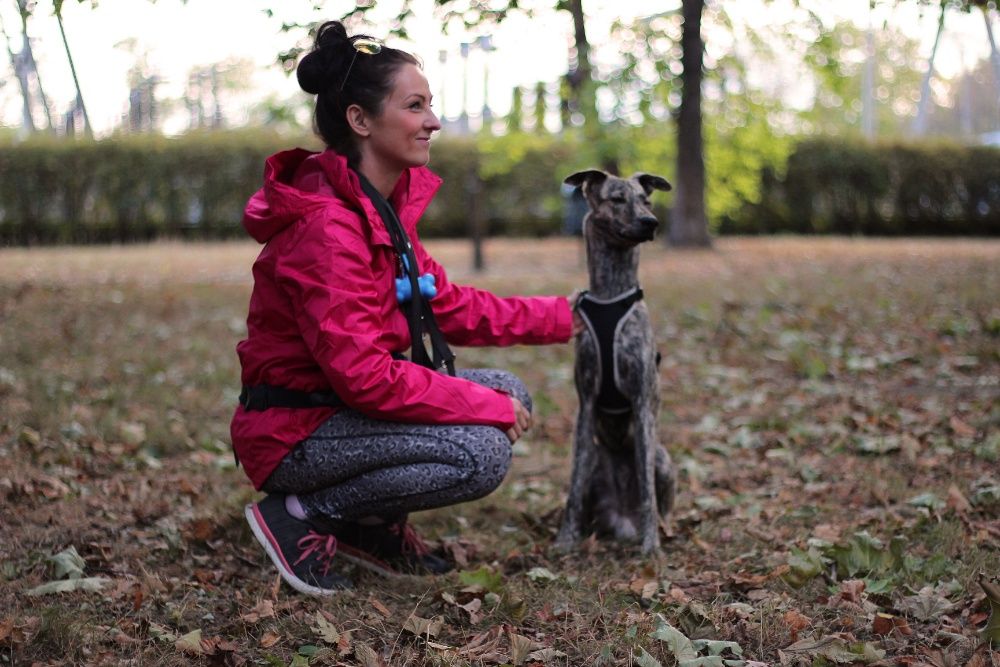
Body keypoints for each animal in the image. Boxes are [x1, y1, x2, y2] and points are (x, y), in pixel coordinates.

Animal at [556, 170, 680, 556]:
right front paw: (565, 539)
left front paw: (651, 547)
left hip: (663, 459)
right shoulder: (586, 403)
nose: (650, 222)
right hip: (598, 464)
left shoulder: (641, 403)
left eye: (646, 199)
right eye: (616, 199)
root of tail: (623, 520)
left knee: (661, 502)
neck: (611, 295)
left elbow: (648, 491)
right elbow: (573, 486)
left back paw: (659, 529)